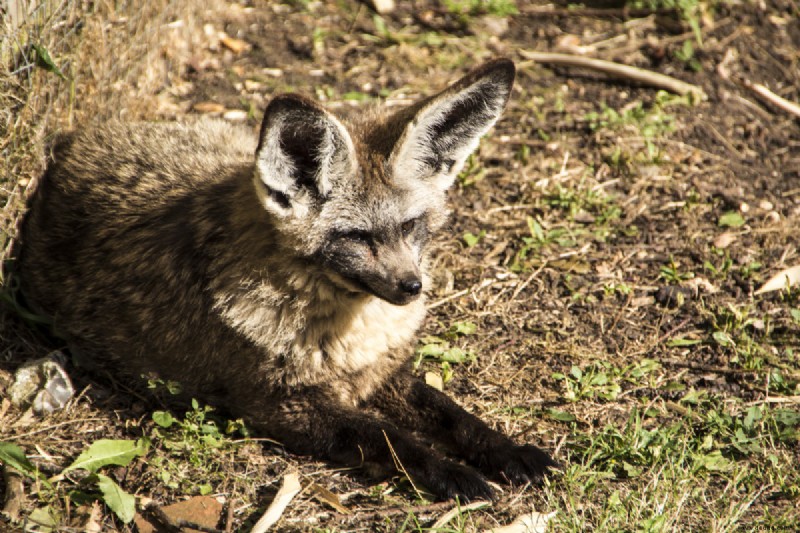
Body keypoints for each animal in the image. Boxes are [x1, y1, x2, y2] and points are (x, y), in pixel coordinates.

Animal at [18, 58, 556, 498]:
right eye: (356, 237)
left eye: (409, 227)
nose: (411, 287)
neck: (344, 339)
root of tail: (76, 143)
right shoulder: (282, 408)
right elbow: (392, 440)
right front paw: (453, 473)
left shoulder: (383, 371)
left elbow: (452, 414)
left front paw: (507, 450)